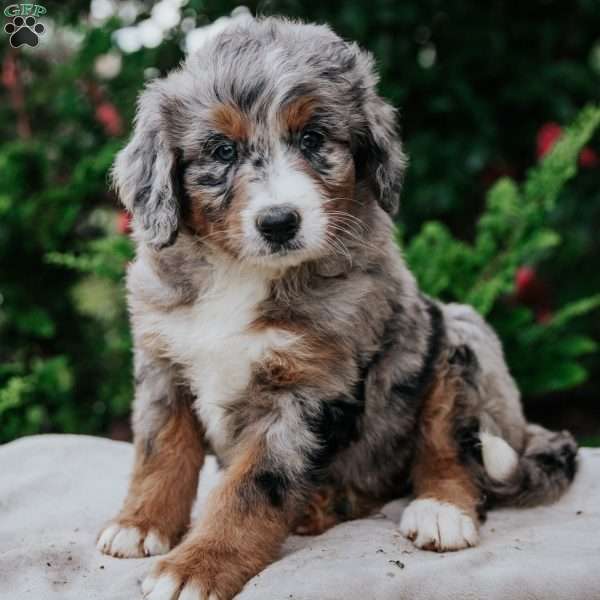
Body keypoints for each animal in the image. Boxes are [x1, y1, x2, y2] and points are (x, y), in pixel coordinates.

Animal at [97, 16, 576, 600]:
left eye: (313, 138)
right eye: (222, 151)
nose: (279, 222)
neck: (240, 274)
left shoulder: (305, 389)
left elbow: (253, 487)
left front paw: (198, 566)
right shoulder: (164, 360)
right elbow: (160, 451)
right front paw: (141, 524)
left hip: (461, 340)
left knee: (452, 447)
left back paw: (439, 510)